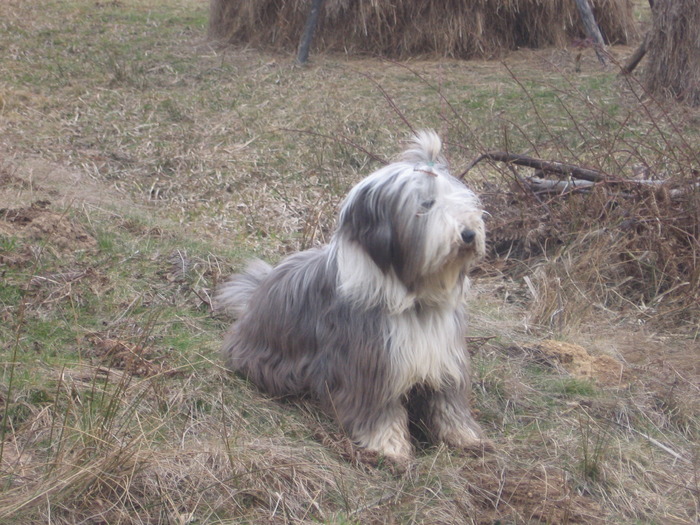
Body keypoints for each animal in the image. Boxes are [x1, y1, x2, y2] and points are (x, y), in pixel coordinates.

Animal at [219, 132, 492, 462]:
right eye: (426, 204)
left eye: (461, 200)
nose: (469, 234)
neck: (414, 300)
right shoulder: (372, 363)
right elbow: (379, 410)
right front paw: (388, 447)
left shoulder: (446, 357)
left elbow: (448, 402)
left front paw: (465, 437)